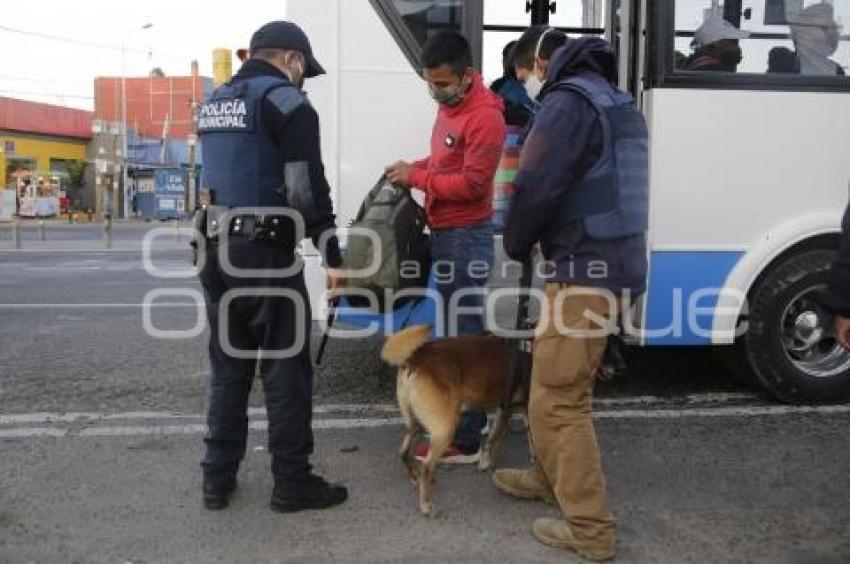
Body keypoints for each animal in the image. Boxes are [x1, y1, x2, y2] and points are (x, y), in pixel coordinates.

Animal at [380, 326, 528, 516]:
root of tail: (416, 358)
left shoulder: (508, 411)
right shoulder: (508, 410)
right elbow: (496, 440)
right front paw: (489, 463)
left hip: (418, 422)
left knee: (404, 452)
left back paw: (416, 478)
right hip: (446, 427)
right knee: (426, 467)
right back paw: (426, 504)